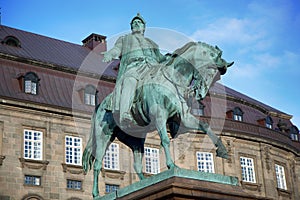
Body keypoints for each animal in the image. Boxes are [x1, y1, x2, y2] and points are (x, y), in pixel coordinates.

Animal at [82, 41, 234, 197]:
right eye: (211, 71)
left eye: (217, 77)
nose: (200, 94)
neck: (172, 80)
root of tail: (98, 106)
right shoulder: (160, 115)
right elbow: (165, 140)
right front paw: (171, 165)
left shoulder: (184, 118)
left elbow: (205, 126)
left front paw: (222, 150)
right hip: (104, 136)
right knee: (97, 164)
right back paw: (96, 194)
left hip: (136, 139)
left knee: (136, 165)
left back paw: (144, 183)